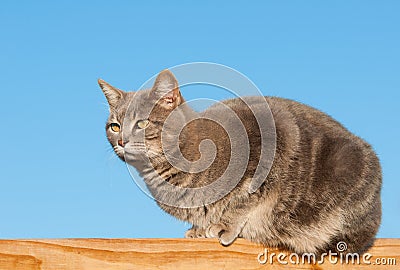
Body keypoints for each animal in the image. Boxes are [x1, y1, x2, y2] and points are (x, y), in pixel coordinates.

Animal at [99, 69, 382, 255]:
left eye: (142, 123)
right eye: (114, 126)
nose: (121, 140)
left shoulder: (270, 143)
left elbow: (245, 199)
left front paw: (224, 224)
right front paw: (199, 228)